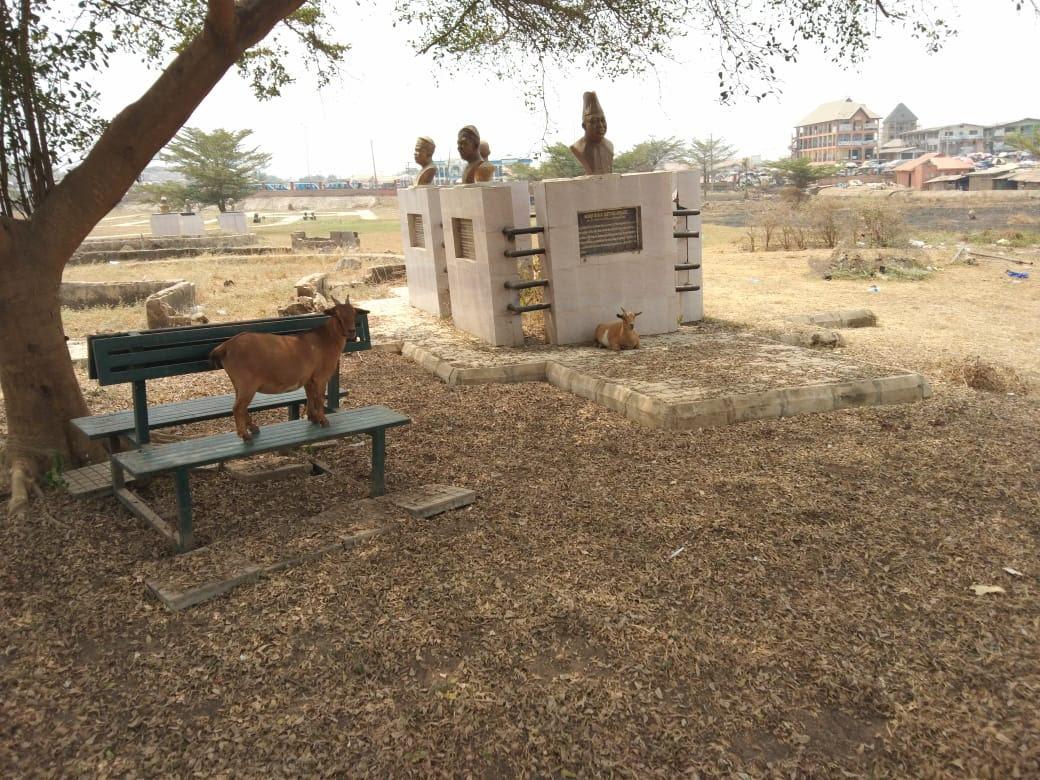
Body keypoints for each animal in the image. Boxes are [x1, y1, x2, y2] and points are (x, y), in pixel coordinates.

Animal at [209, 297, 367, 441]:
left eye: (354, 313)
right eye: (337, 315)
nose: (352, 331)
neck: (325, 339)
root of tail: (225, 347)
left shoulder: (309, 378)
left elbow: (310, 396)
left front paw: (313, 418)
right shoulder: (320, 377)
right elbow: (320, 397)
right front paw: (323, 420)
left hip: (238, 384)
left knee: (241, 406)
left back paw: (253, 428)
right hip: (247, 383)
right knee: (238, 408)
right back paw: (245, 435)